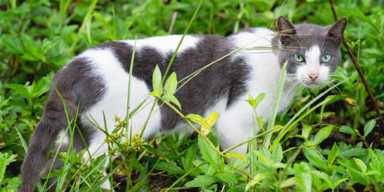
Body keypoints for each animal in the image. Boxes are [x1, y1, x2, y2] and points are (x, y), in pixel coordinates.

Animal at [19, 15, 346, 191]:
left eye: (326, 58)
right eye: (298, 57)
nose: (314, 75)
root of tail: (69, 72)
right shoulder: (234, 120)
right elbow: (243, 160)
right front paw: (247, 180)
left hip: (81, 127)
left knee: (58, 158)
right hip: (128, 121)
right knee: (90, 161)